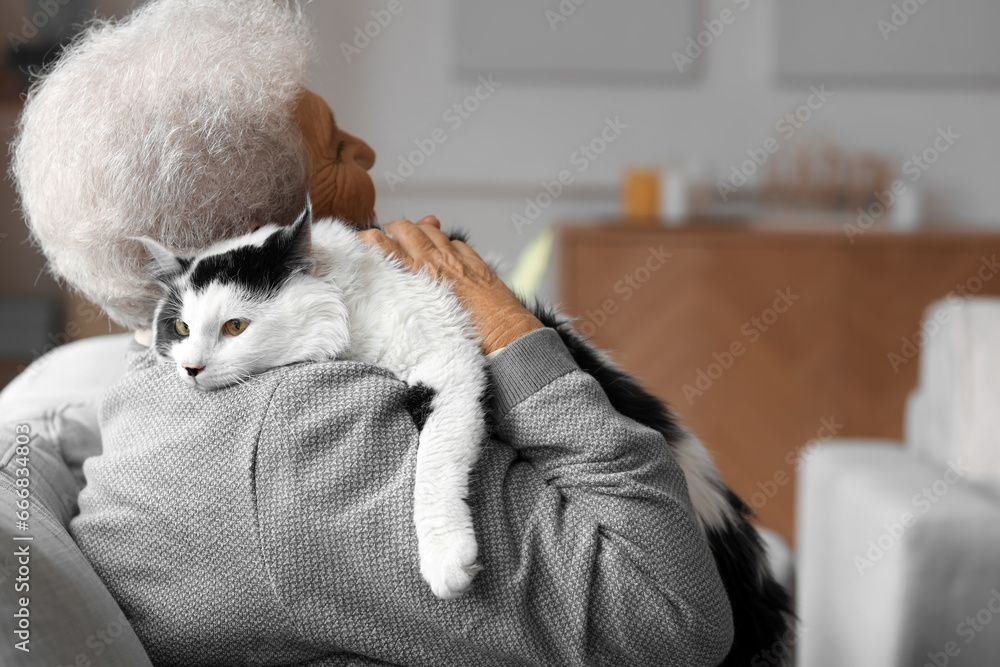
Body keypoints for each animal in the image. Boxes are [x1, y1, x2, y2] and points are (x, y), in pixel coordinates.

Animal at [140, 200, 484, 600]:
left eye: (235, 326)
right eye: (181, 328)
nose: (190, 367)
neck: (345, 305)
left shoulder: (447, 357)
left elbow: (435, 457)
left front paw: (446, 557)